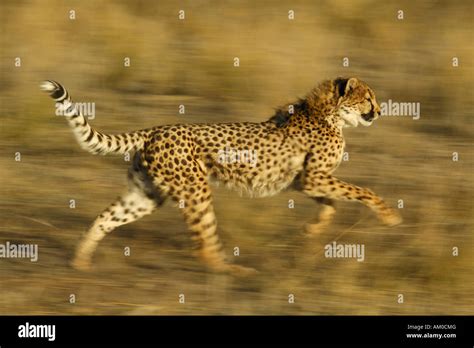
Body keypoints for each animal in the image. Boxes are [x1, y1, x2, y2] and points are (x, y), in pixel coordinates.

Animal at [40, 77, 402, 274]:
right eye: (368, 98)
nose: (380, 110)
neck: (328, 114)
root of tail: (156, 129)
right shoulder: (315, 177)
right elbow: (363, 191)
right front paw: (389, 216)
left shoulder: (306, 180)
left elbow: (331, 203)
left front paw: (312, 229)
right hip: (195, 190)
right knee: (204, 241)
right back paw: (230, 269)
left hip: (146, 194)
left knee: (104, 218)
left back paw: (80, 261)